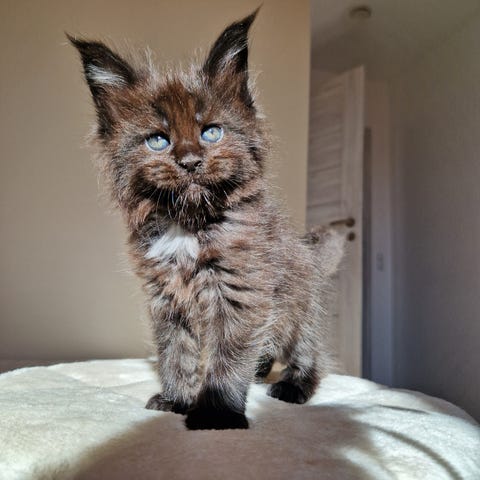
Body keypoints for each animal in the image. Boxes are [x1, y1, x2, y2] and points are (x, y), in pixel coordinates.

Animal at [69, 9, 344, 430]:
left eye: (211, 132)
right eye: (158, 140)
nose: (190, 161)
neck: (188, 225)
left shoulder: (241, 290)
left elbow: (227, 357)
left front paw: (215, 412)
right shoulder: (165, 297)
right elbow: (175, 352)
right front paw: (177, 399)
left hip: (299, 308)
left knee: (310, 351)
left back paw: (293, 386)